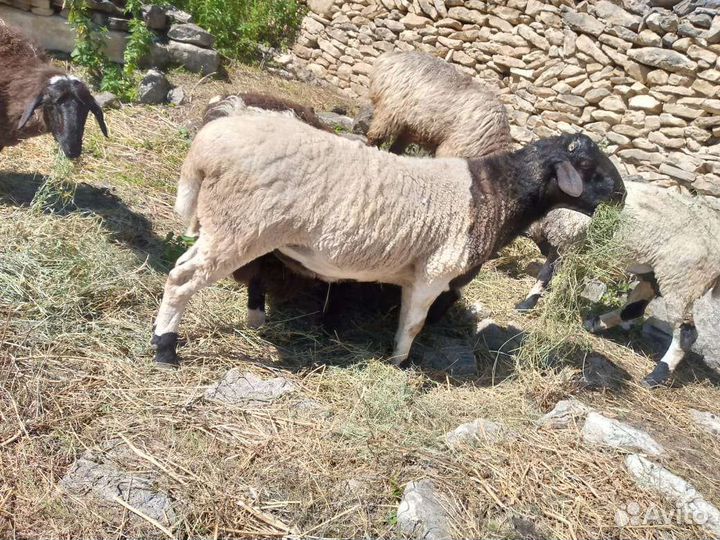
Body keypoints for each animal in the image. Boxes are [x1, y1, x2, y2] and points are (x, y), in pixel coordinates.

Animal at [151, 114, 625, 367]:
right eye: (588, 166)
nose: (622, 198)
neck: (494, 194)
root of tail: (207, 147)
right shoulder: (434, 273)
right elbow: (413, 323)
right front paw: (399, 360)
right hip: (239, 225)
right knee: (181, 278)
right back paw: (164, 347)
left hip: (235, 227)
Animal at [517, 182, 720, 387]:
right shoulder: (563, 241)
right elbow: (546, 273)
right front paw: (527, 304)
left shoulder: (570, 240)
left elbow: (555, 278)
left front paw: (545, 306)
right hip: (657, 275)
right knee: (634, 309)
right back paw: (595, 324)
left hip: (683, 280)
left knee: (686, 333)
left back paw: (655, 376)